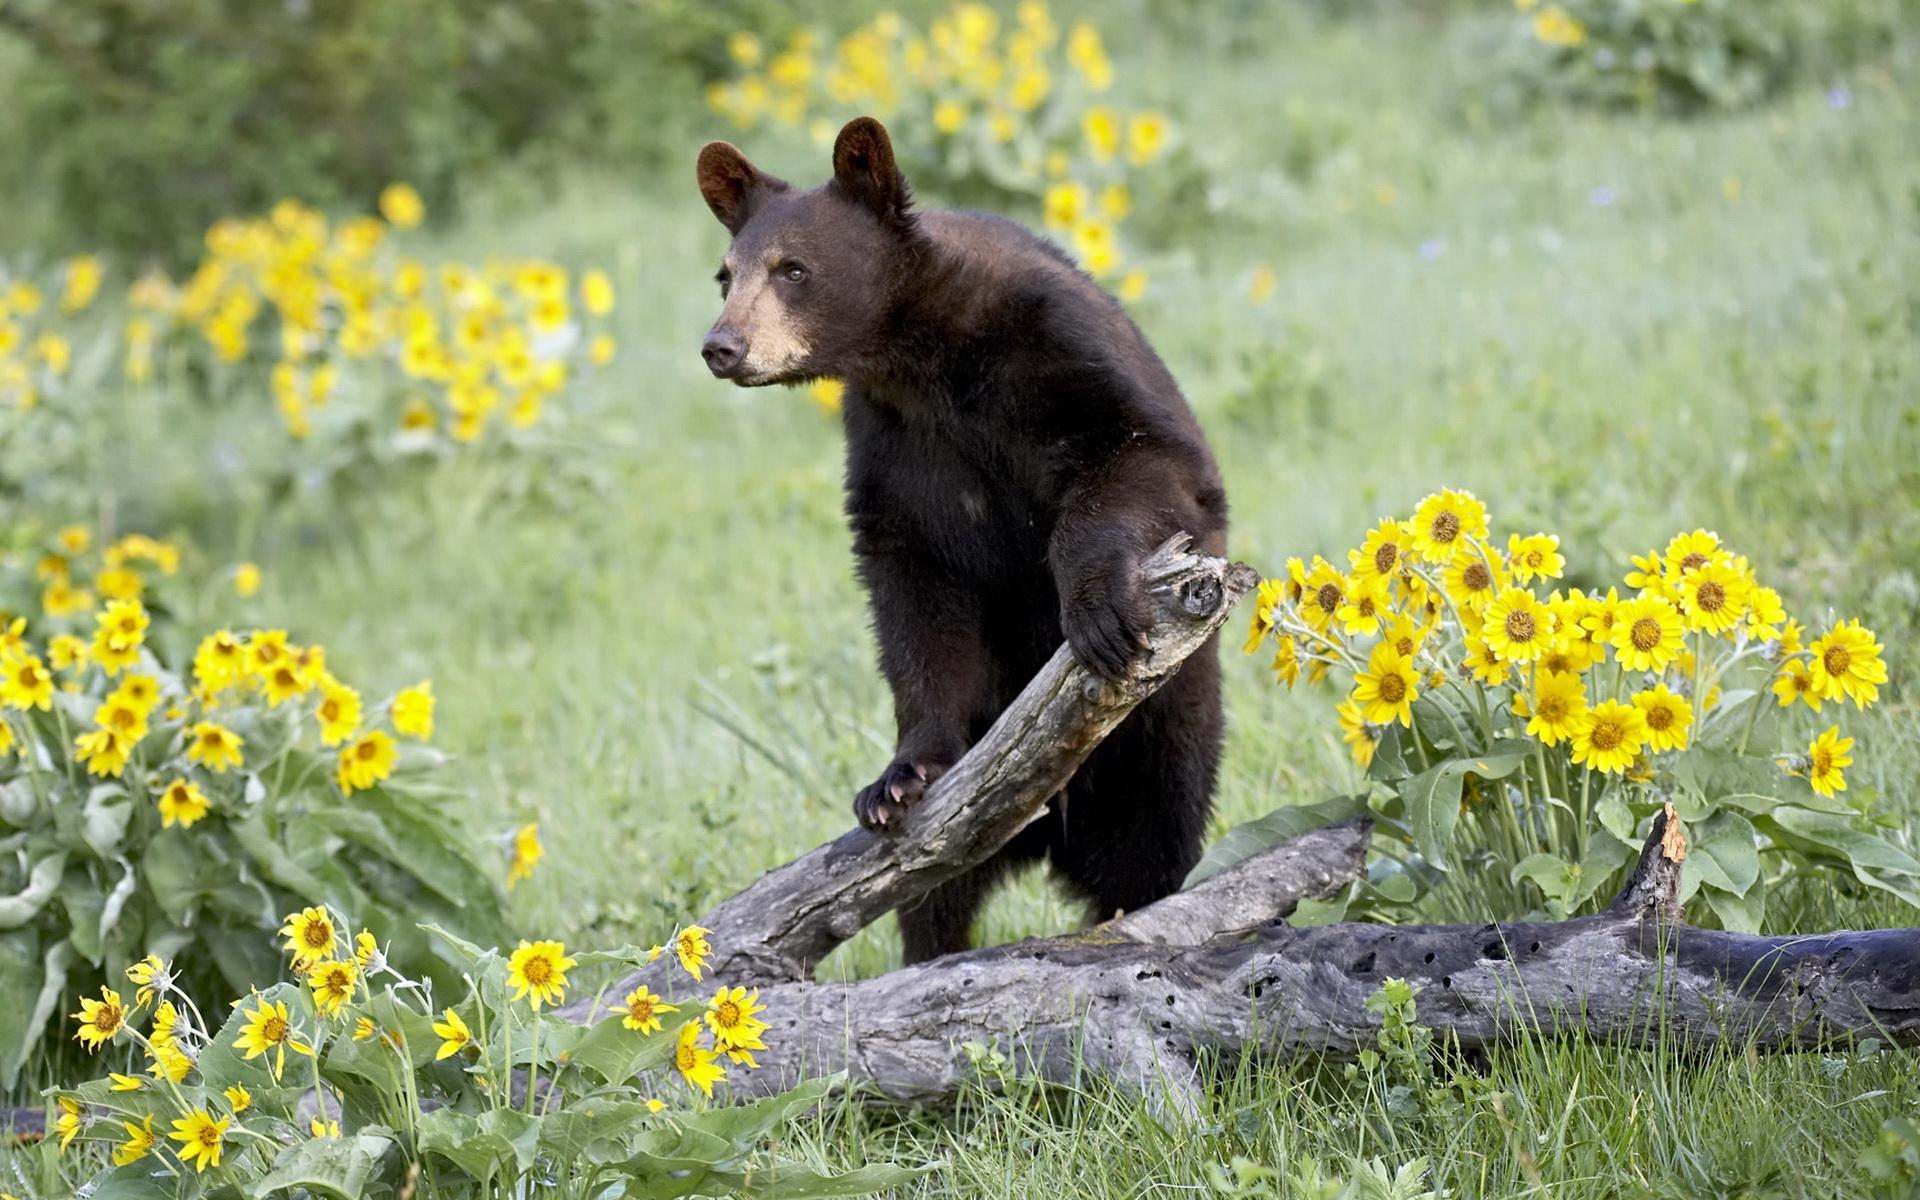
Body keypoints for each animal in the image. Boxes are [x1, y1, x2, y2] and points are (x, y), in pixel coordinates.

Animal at [698, 119, 1221, 963]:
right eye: (725, 275)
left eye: (794, 269)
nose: (722, 345)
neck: (925, 359)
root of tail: (1050, 838)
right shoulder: (895, 444)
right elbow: (916, 593)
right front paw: (899, 777)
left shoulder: (1061, 348)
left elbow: (1146, 456)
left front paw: (1099, 613)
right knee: (932, 897)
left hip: (1161, 737)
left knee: (1153, 846)